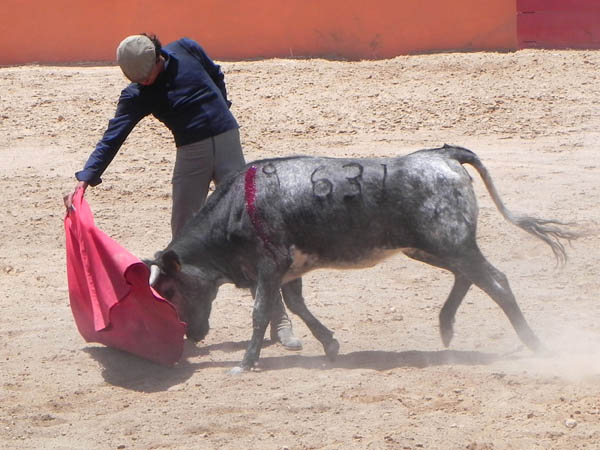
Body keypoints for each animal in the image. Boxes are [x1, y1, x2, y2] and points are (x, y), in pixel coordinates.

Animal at [145, 145, 576, 372]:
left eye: (170, 289)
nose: (192, 335)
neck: (239, 207)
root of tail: (443, 155)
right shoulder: (289, 269)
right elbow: (296, 305)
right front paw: (330, 344)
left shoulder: (269, 266)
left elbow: (261, 312)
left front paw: (247, 362)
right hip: (432, 247)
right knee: (468, 277)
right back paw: (446, 327)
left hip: (451, 243)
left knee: (495, 281)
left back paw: (535, 345)